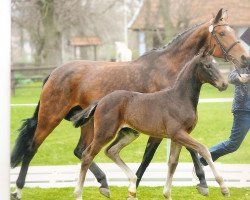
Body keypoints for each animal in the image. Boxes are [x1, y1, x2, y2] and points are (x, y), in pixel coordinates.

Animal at [70, 52, 229, 200]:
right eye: (208, 66)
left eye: (216, 64)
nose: (224, 84)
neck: (179, 99)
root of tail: (101, 101)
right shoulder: (178, 133)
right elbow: (203, 149)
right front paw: (224, 188)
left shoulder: (177, 137)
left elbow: (173, 163)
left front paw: (167, 194)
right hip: (104, 133)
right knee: (87, 155)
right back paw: (79, 194)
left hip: (129, 133)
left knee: (111, 151)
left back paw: (132, 186)